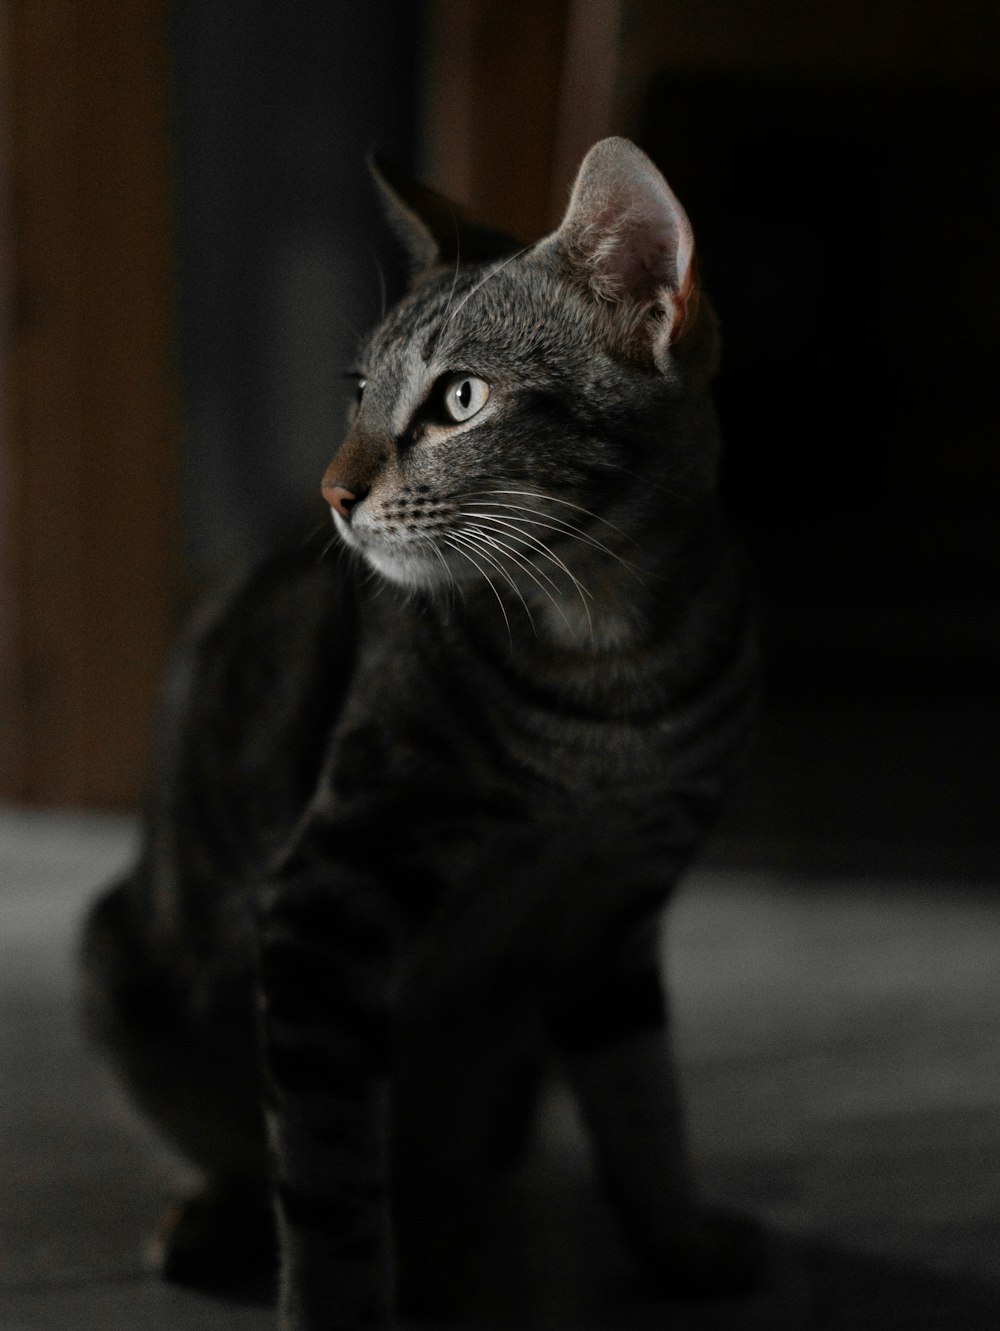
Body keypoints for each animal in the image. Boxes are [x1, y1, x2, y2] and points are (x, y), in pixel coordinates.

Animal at [82, 137, 761, 1331]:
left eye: (460, 398)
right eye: (359, 392)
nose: (332, 491)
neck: (611, 673)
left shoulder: (617, 915)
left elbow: (645, 1104)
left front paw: (677, 1246)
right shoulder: (324, 901)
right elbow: (328, 1180)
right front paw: (340, 1305)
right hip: (124, 963)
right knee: (248, 1148)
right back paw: (216, 1216)